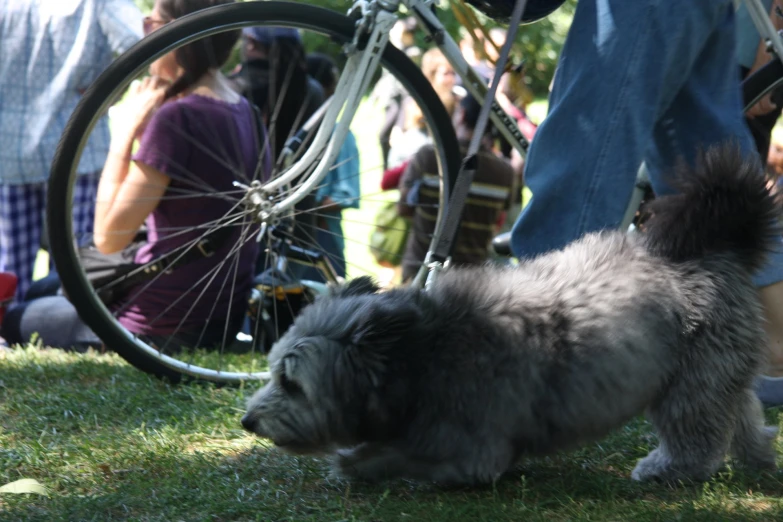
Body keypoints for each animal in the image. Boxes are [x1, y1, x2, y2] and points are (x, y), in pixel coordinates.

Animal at [243, 144, 776, 482]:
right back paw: (759, 456)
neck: (422, 352)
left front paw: (356, 463)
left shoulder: (473, 452)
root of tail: (716, 250)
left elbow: (397, 457)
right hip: (718, 371)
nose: (248, 421)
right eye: (271, 372)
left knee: (698, 433)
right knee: (742, 410)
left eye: (292, 383)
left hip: (690, 384)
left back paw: (671, 469)